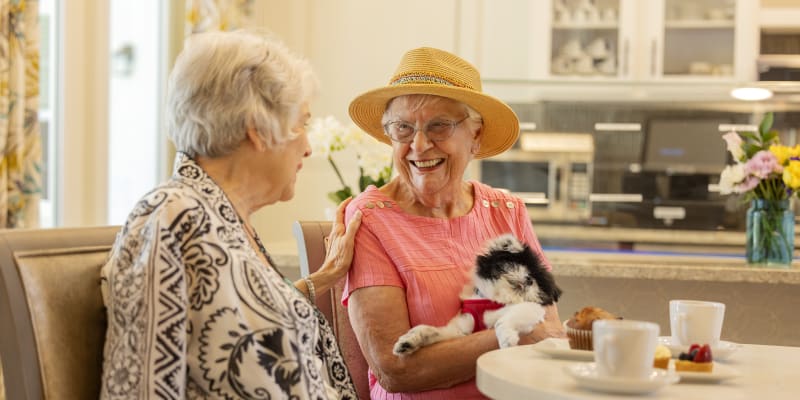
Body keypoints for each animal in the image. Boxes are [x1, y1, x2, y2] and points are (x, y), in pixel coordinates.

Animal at [394, 233, 564, 354]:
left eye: (538, 282)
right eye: (513, 263)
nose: (529, 279)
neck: (494, 298)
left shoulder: (531, 309)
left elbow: (502, 321)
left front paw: (507, 338)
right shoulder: (461, 329)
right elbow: (430, 330)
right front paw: (409, 341)